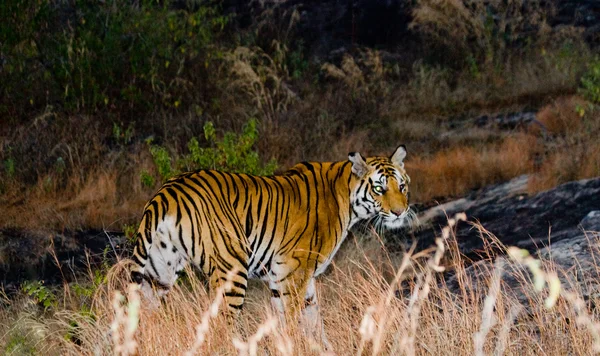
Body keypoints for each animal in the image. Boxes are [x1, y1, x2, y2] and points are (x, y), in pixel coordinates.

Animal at [131, 144, 412, 342]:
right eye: (379, 189)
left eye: (402, 186)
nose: (400, 212)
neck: (346, 195)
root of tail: (167, 192)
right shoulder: (293, 272)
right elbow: (292, 320)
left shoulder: (296, 278)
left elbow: (313, 321)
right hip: (231, 269)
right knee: (221, 326)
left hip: (158, 274)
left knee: (143, 316)